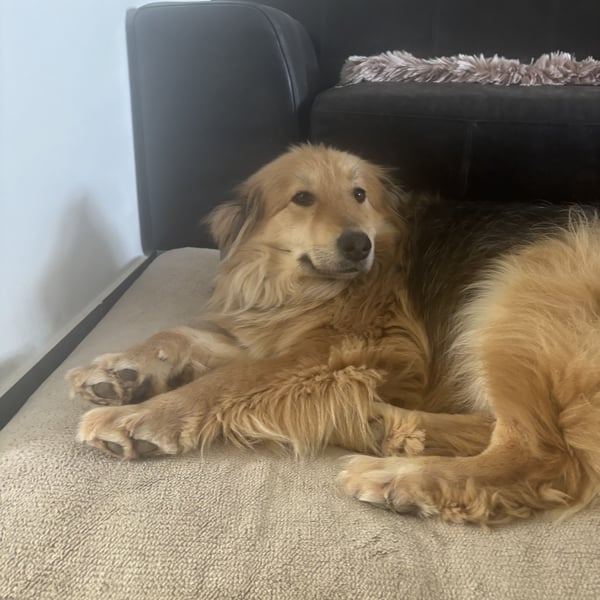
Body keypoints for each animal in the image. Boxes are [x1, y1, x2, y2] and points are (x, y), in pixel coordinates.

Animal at [68, 144, 600, 525]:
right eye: (302, 198)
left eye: (359, 195)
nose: (358, 244)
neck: (301, 285)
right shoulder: (269, 332)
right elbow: (180, 333)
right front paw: (118, 371)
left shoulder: (350, 350)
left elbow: (227, 382)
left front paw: (139, 417)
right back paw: (387, 425)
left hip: (512, 295)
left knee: (541, 454)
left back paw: (398, 478)